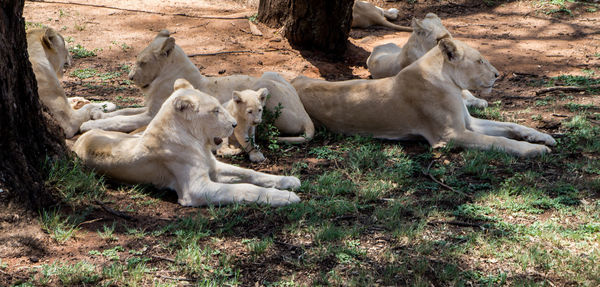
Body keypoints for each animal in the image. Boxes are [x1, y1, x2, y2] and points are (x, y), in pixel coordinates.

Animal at [73, 79, 302, 207]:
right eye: (215, 110)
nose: (235, 124)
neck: (197, 141)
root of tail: (80, 140)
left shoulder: (214, 167)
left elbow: (251, 174)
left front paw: (288, 181)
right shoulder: (196, 189)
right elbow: (244, 189)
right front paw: (285, 197)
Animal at [79, 30, 314, 145]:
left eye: (143, 63)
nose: (130, 77)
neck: (164, 75)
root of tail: (305, 114)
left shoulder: (152, 114)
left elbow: (122, 120)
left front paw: (89, 125)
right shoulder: (149, 107)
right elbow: (125, 111)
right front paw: (99, 115)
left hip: (264, 88)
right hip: (270, 74)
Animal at [292, 38, 556, 158]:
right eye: (480, 61)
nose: (497, 75)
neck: (450, 82)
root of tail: (294, 81)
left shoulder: (468, 123)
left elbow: (510, 125)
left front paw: (543, 136)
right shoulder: (450, 135)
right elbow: (500, 141)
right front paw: (534, 149)